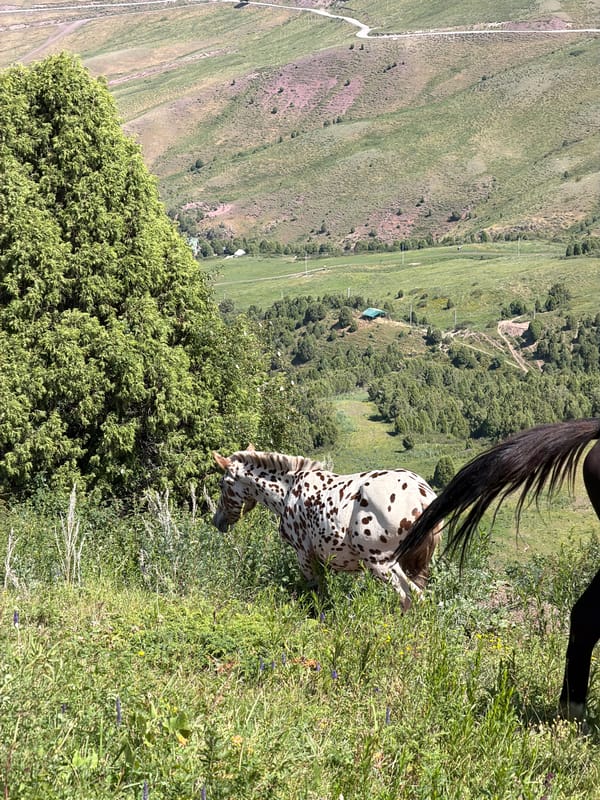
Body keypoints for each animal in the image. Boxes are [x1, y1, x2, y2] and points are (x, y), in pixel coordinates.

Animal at [212, 448, 442, 610]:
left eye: (222, 484)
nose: (217, 521)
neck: (289, 490)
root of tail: (422, 494)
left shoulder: (304, 554)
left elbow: (316, 592)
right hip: (414, 566)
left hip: (382, 565)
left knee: (409, 597)